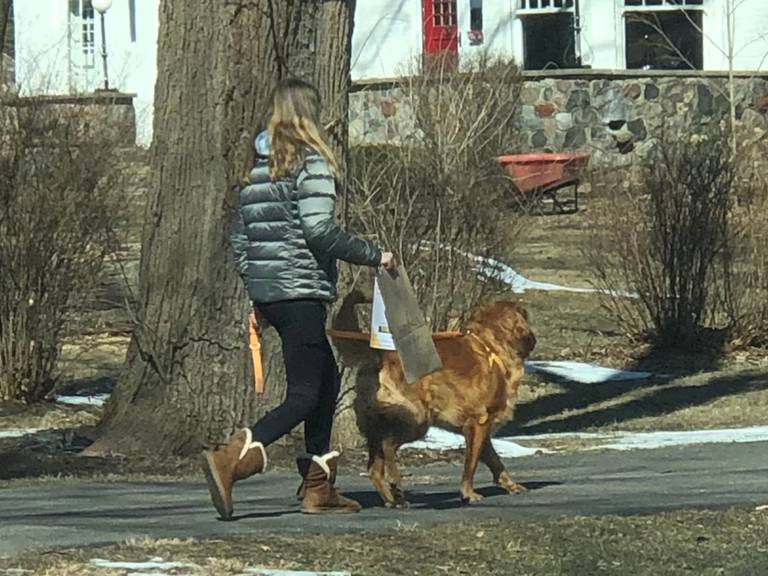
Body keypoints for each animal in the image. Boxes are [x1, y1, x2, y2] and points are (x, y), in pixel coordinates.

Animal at [354, 300, 536, 506]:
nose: (533, 340)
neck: (491, 345)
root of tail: (379, 360)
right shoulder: (478, 423)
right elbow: (471, 464)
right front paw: (468, 493)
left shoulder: (482, 428)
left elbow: (494, 460)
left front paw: (511, 485)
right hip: (417, 419)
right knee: (388, 446)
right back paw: (395, 482)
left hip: (379, 425)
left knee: (375, 469)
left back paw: (393, 500)